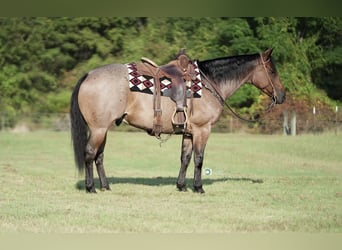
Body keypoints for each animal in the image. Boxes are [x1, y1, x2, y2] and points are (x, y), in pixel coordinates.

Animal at [70, 48, 286, 193]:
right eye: (272, 71)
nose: (282, 96)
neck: (209, 83)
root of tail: (89, 75)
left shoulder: (189, 132)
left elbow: (185, 158)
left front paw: (181, 186)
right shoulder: (202, 130)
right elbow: (199, 159)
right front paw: (198, 187)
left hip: (103, 129)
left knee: (99, 157)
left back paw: (105, 186)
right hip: (98, 129)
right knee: (89, 154)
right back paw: (90, 188)